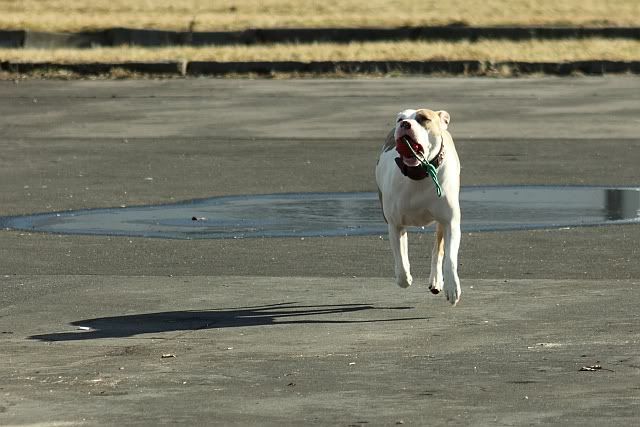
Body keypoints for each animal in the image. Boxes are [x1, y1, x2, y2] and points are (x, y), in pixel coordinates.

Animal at [375, 108, 461, 305]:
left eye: (424, 119)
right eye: (400, 119)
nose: (405, 124)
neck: (419, 173)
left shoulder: (450, 222)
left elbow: (450, 258)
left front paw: (452, 286)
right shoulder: (395, 224)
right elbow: (400, 258)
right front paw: (404, 277)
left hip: (441, 223)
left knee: (437, 250)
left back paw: (436, 281)